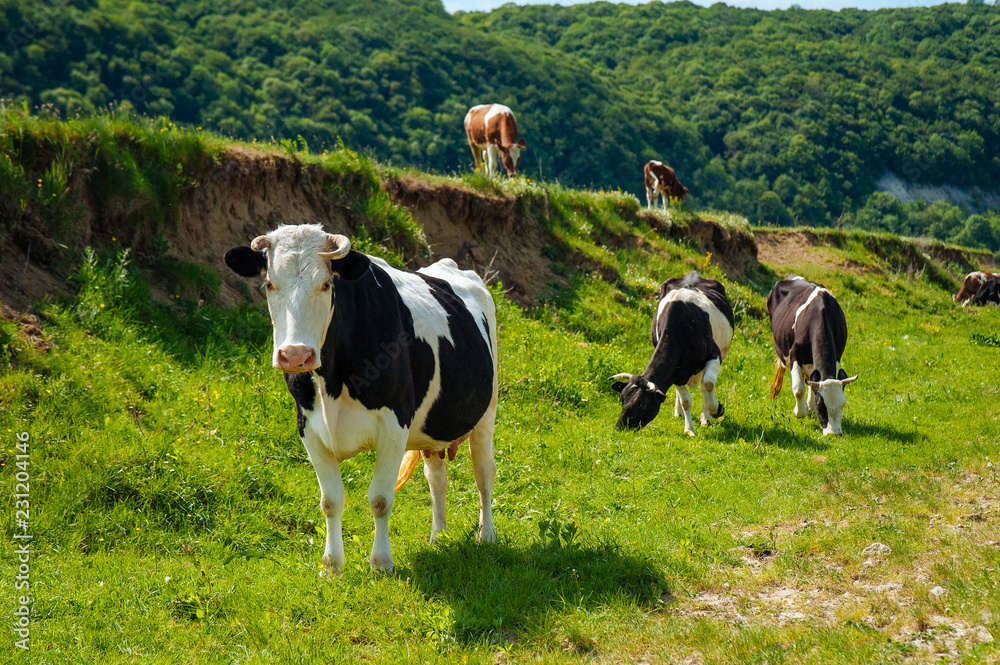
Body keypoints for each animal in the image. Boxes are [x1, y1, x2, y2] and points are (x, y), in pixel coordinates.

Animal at [224, 224, 499, 574]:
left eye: (326, 284)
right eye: (269, 284)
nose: (296, 355)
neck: (332, 384)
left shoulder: (395, 425)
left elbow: (380, 499)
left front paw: (381, 564)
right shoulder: (308, 427)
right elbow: (330, 501)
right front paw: (331, 565)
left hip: (487, 411)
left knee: (484, 472)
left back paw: (486, 536)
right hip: (434, 427)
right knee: (437, 478)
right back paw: (439, 537)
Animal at [609, 271, 734, 435]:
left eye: (641, 403)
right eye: (622, 399)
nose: (619, 427)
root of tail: (693, 274)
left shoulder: (715, 354)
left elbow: (708, 384)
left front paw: (716, 409)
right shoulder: (676, 373)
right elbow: (685, 400)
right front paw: (689, 429)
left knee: (703, 386)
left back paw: (705, 418)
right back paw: (679, 412)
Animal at [768, 275, 857, 436]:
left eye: (843, 404)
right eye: (820, 404)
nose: (834, 433)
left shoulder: (837, 357)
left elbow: (813, 383)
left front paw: (808, 407)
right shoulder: (794, 355)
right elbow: (798, 389)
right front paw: (799, 411)